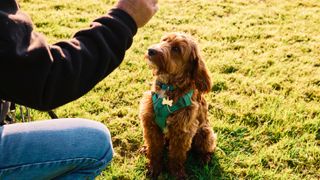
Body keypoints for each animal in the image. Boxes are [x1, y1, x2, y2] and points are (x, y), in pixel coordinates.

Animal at [138, 32, 216, 179]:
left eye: (176, 49)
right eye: (164, 40)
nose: (150, 50)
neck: (168, 86)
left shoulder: (182, 130)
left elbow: (176, 155)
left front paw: (177, 173)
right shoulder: (151, 124)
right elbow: (155, 149)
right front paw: (154, 168)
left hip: (205, 132)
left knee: (206, 148)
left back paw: (204, 158)